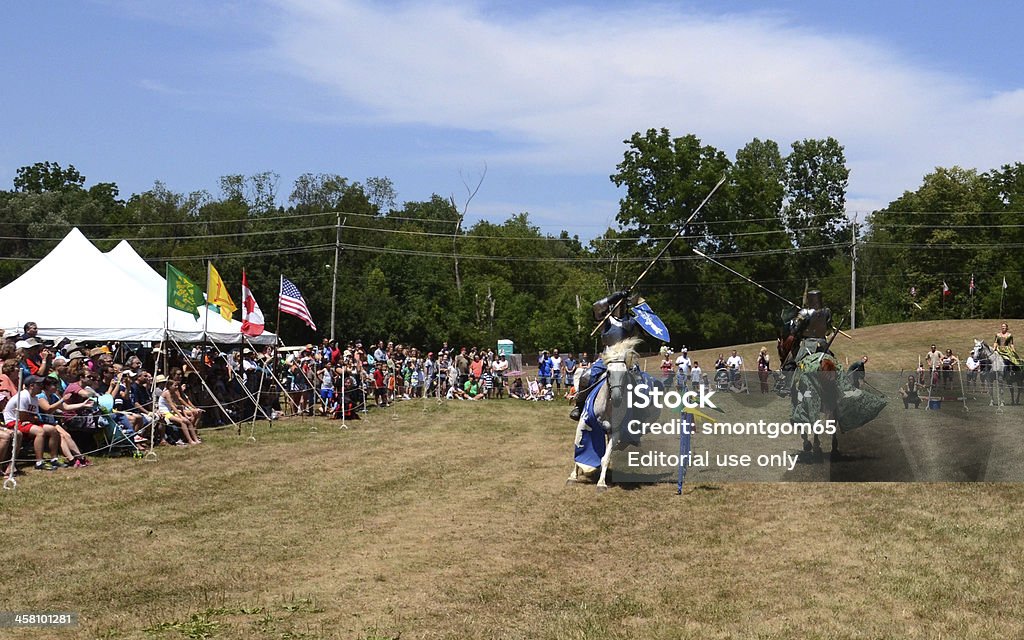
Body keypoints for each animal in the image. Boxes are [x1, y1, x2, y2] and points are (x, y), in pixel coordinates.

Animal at [569, 333, 638, 489]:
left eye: (625, 373)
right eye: (609, 372)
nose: (617, 397)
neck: (608, 407)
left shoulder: (615, 432)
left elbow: (606, 457)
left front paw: (601, 482)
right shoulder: (584, 424)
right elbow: (578, 450)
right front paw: (573, 476)